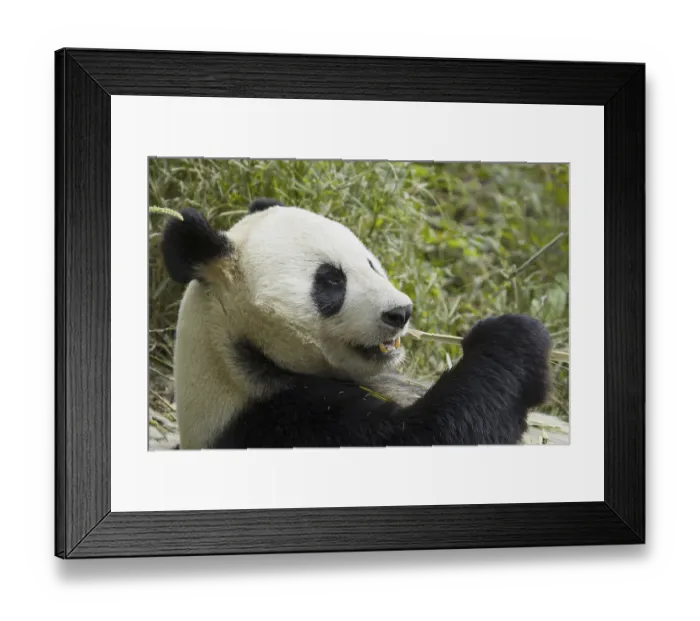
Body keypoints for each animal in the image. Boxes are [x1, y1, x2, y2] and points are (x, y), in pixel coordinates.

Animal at [160, 199, 552, 450]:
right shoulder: (279, 422)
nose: (401, 312)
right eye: (331, 280)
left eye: (371, 264)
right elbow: (432, 434)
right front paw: (512, 335)